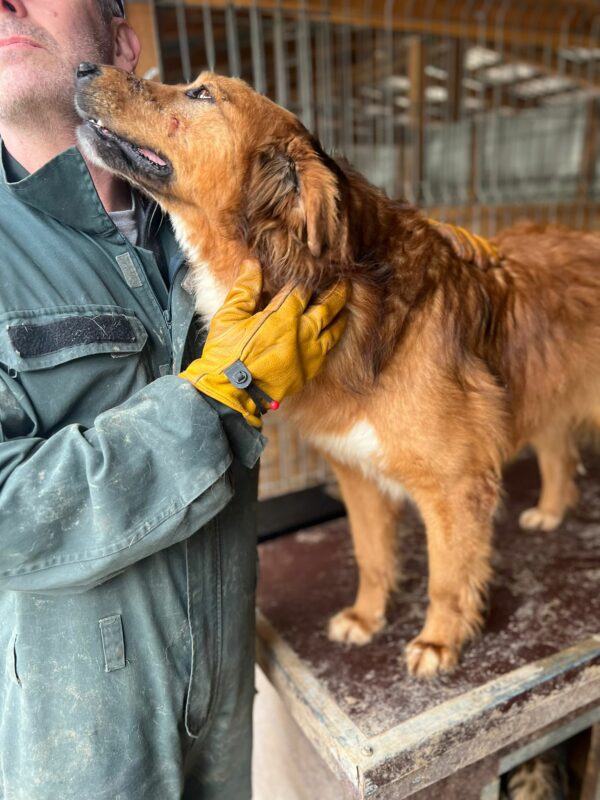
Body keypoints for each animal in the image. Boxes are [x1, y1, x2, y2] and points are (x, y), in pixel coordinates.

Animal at [76, 67, 600, 676]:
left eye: (202, 94)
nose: (84, 69)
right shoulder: (356, 473)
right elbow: (371, 558)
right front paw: (367, 618)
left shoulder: (455, 485)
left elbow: (449, 578)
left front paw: (440, 641)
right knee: (557, 450)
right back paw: (551, 511)